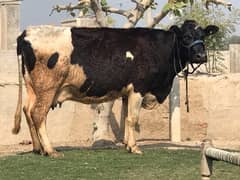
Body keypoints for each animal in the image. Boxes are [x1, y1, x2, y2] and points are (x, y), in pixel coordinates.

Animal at [13, 20, 218, 158]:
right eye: (186, 37)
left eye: (203, 36)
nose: (201, 56)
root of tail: (26, 33)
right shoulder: (138, 88)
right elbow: (133, 118)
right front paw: (134, 148)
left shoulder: (128, 92)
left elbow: (127, 116)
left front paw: (127, 144)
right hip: (47, 87)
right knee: (38, 114)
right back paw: (50, 150)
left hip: (33, 88)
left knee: (28, 111)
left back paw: (37, 148)